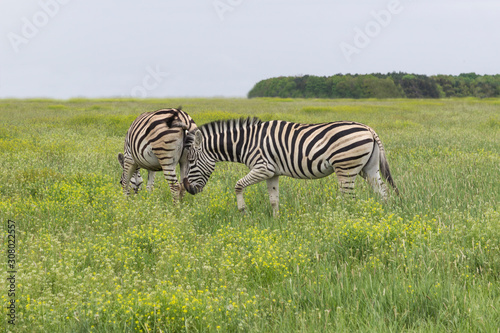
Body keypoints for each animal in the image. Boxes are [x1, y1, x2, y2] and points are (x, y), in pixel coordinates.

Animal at [183, 116, 398, 215]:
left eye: (191, 161)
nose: (188, 190)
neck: (245, 142)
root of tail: (369, 129)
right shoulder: (272, 173)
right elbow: (274, 199)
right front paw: (276, 221)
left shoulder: (262, 168)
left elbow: (237, 185)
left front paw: (243, 212)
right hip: (369, 169)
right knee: (383, 192)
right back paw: (384, 215)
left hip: (346, 167)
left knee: (349, 198)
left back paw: (348, 221)